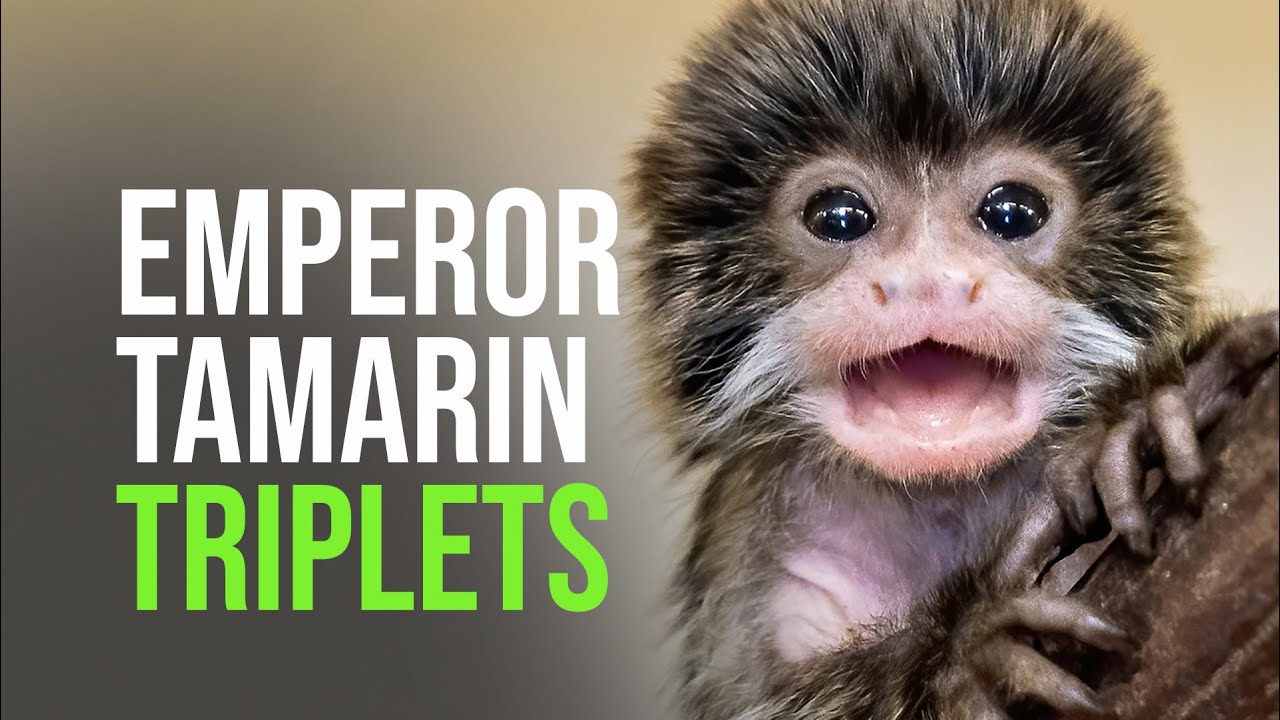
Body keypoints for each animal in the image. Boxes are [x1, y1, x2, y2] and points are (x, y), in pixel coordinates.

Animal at [628, 0, 1280, 717]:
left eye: (1013, 212)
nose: (928, 281)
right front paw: (964, 654)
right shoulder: (738, 537)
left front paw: (1149, 416)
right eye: (839, 217)